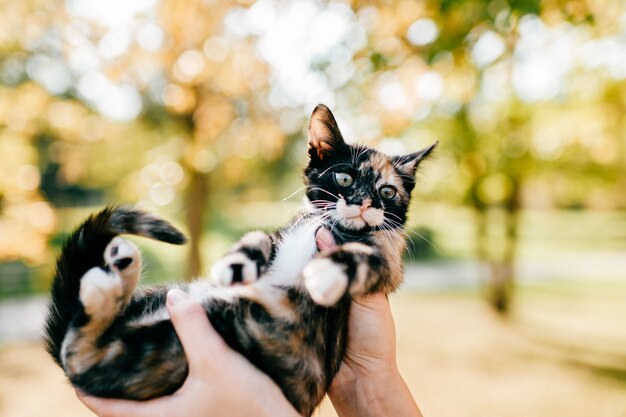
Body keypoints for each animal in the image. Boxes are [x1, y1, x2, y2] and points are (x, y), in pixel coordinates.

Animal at [44, 103, 434, 412]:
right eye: (344, 177)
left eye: (387, 192)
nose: (364, 203)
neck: (327, 226)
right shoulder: (284, 232)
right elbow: (259, 237)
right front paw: (236, 262)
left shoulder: (389, 260)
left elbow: (364, 256)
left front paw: (324, 274)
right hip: (168, 302)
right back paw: (121, 272)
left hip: (180, 345)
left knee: (81, 357)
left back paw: (110, 283)